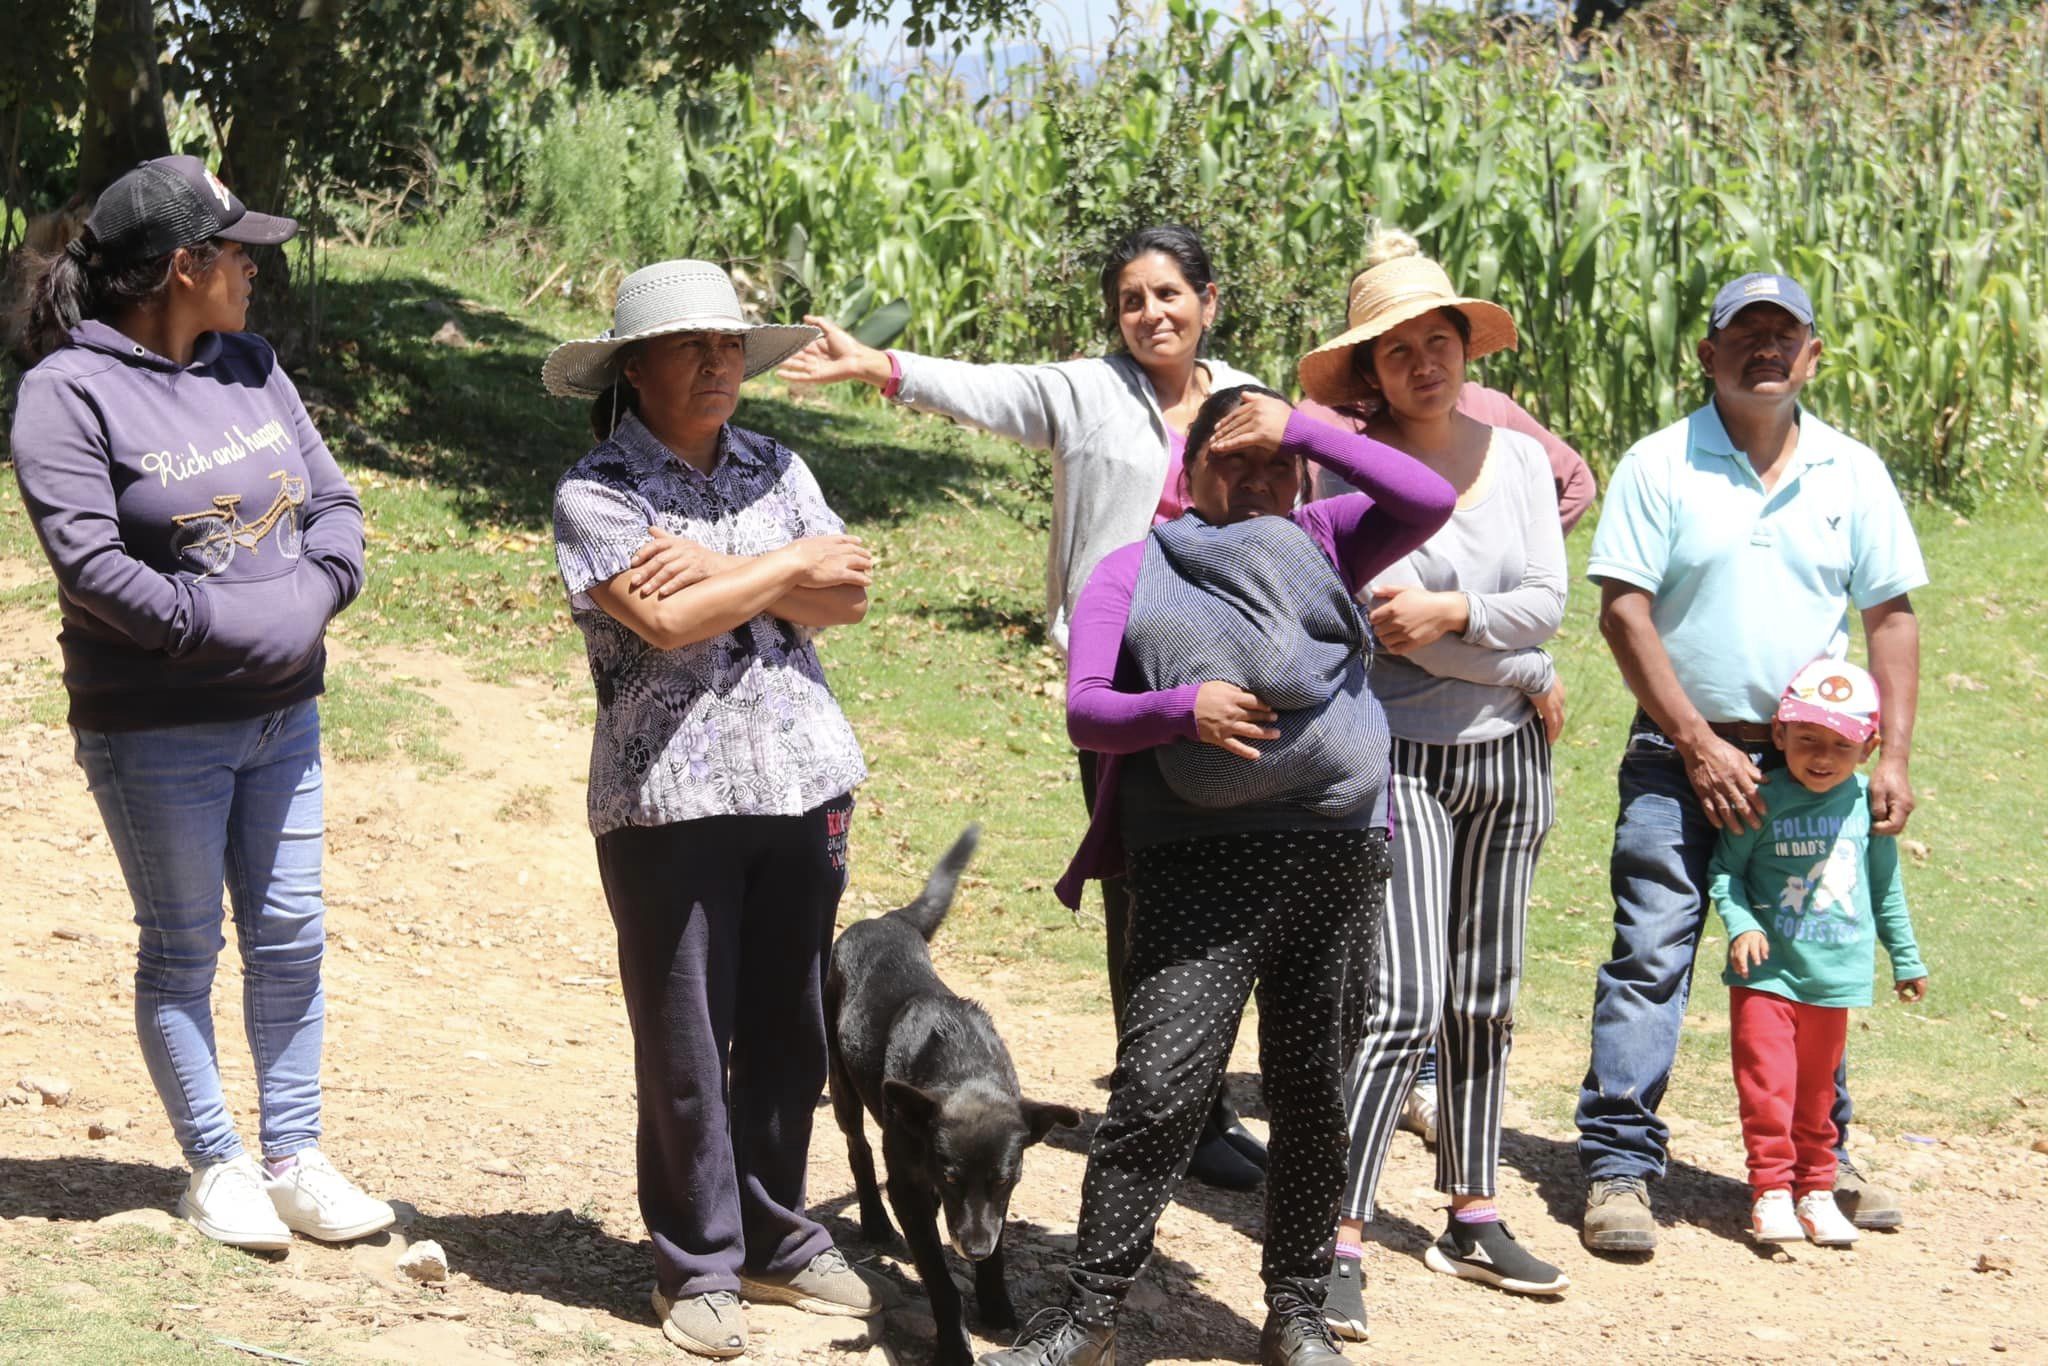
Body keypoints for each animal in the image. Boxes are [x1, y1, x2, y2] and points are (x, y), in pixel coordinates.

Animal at [823, 827, 1081, 1359]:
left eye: (1006, 1180)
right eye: (951, 1175)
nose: (973, 1247)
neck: (965, 1069)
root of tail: (887, 920)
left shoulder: (994, 1201)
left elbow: (996, 1243)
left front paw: (996, 1302)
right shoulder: (909, 1189)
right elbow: (941, 1282)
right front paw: (955, 1347)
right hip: (841, 1084)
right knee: (858, 1148)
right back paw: (875, 1221)